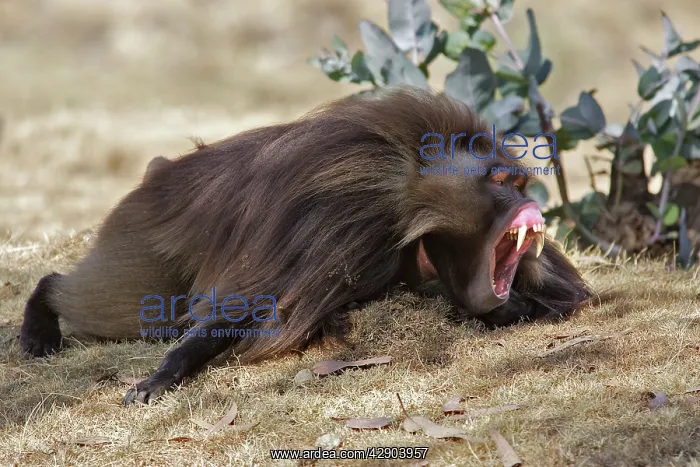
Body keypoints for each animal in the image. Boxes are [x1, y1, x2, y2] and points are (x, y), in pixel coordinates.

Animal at [19, 86, 591, 405]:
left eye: (518, 182)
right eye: (501, 181)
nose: (530, 199)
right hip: (142, 240)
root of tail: (161, 175)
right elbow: (240, 307)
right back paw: (40, 321)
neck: (411, 198)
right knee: (105, 301)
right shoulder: (339, 216)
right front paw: (162, 376)